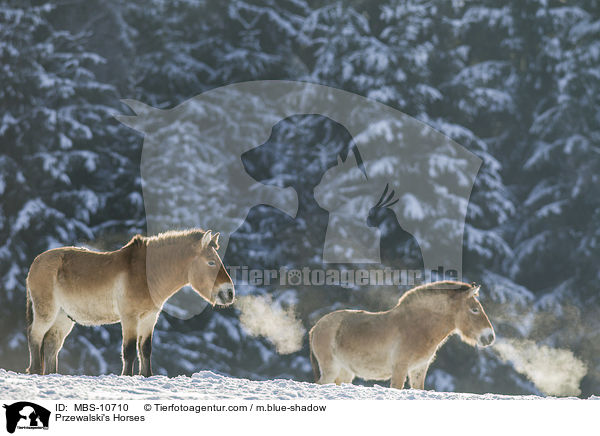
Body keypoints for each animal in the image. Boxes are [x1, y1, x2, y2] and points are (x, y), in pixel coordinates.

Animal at [25, 230, 233, 376]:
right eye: (211, 262)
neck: (147, 274)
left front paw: (146, 376)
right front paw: (127, 377)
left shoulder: (149, 319)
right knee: (35, 336)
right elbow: (130, 351)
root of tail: (35, 262)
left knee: (51, 343)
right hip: (46, 312)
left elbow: (145, 350)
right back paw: (35, 371)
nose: (229, 293)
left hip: (64, 318)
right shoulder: (129, 318)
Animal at [308, 282, 494, 390]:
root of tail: (316, 327)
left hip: (345, 373)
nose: (490, 337)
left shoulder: (419, 369)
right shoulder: (400, 368)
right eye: (475, 309)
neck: (419, 326)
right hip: (331, 370)